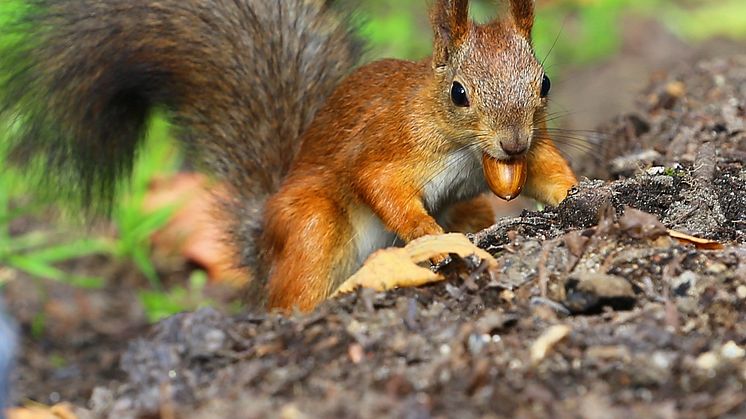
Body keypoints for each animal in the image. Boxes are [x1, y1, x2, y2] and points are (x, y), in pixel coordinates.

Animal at [1, 0, 576, 312]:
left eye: (545, 83)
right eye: (459, 93)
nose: (511, 143)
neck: (464, 150)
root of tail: (261, 246)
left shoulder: (533, 146)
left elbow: (547, 170)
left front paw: (578, 190)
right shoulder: (390, 147)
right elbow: (381, 187)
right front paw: (428, 235)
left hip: (467, 204)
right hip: (311, 226)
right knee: (290, 294)